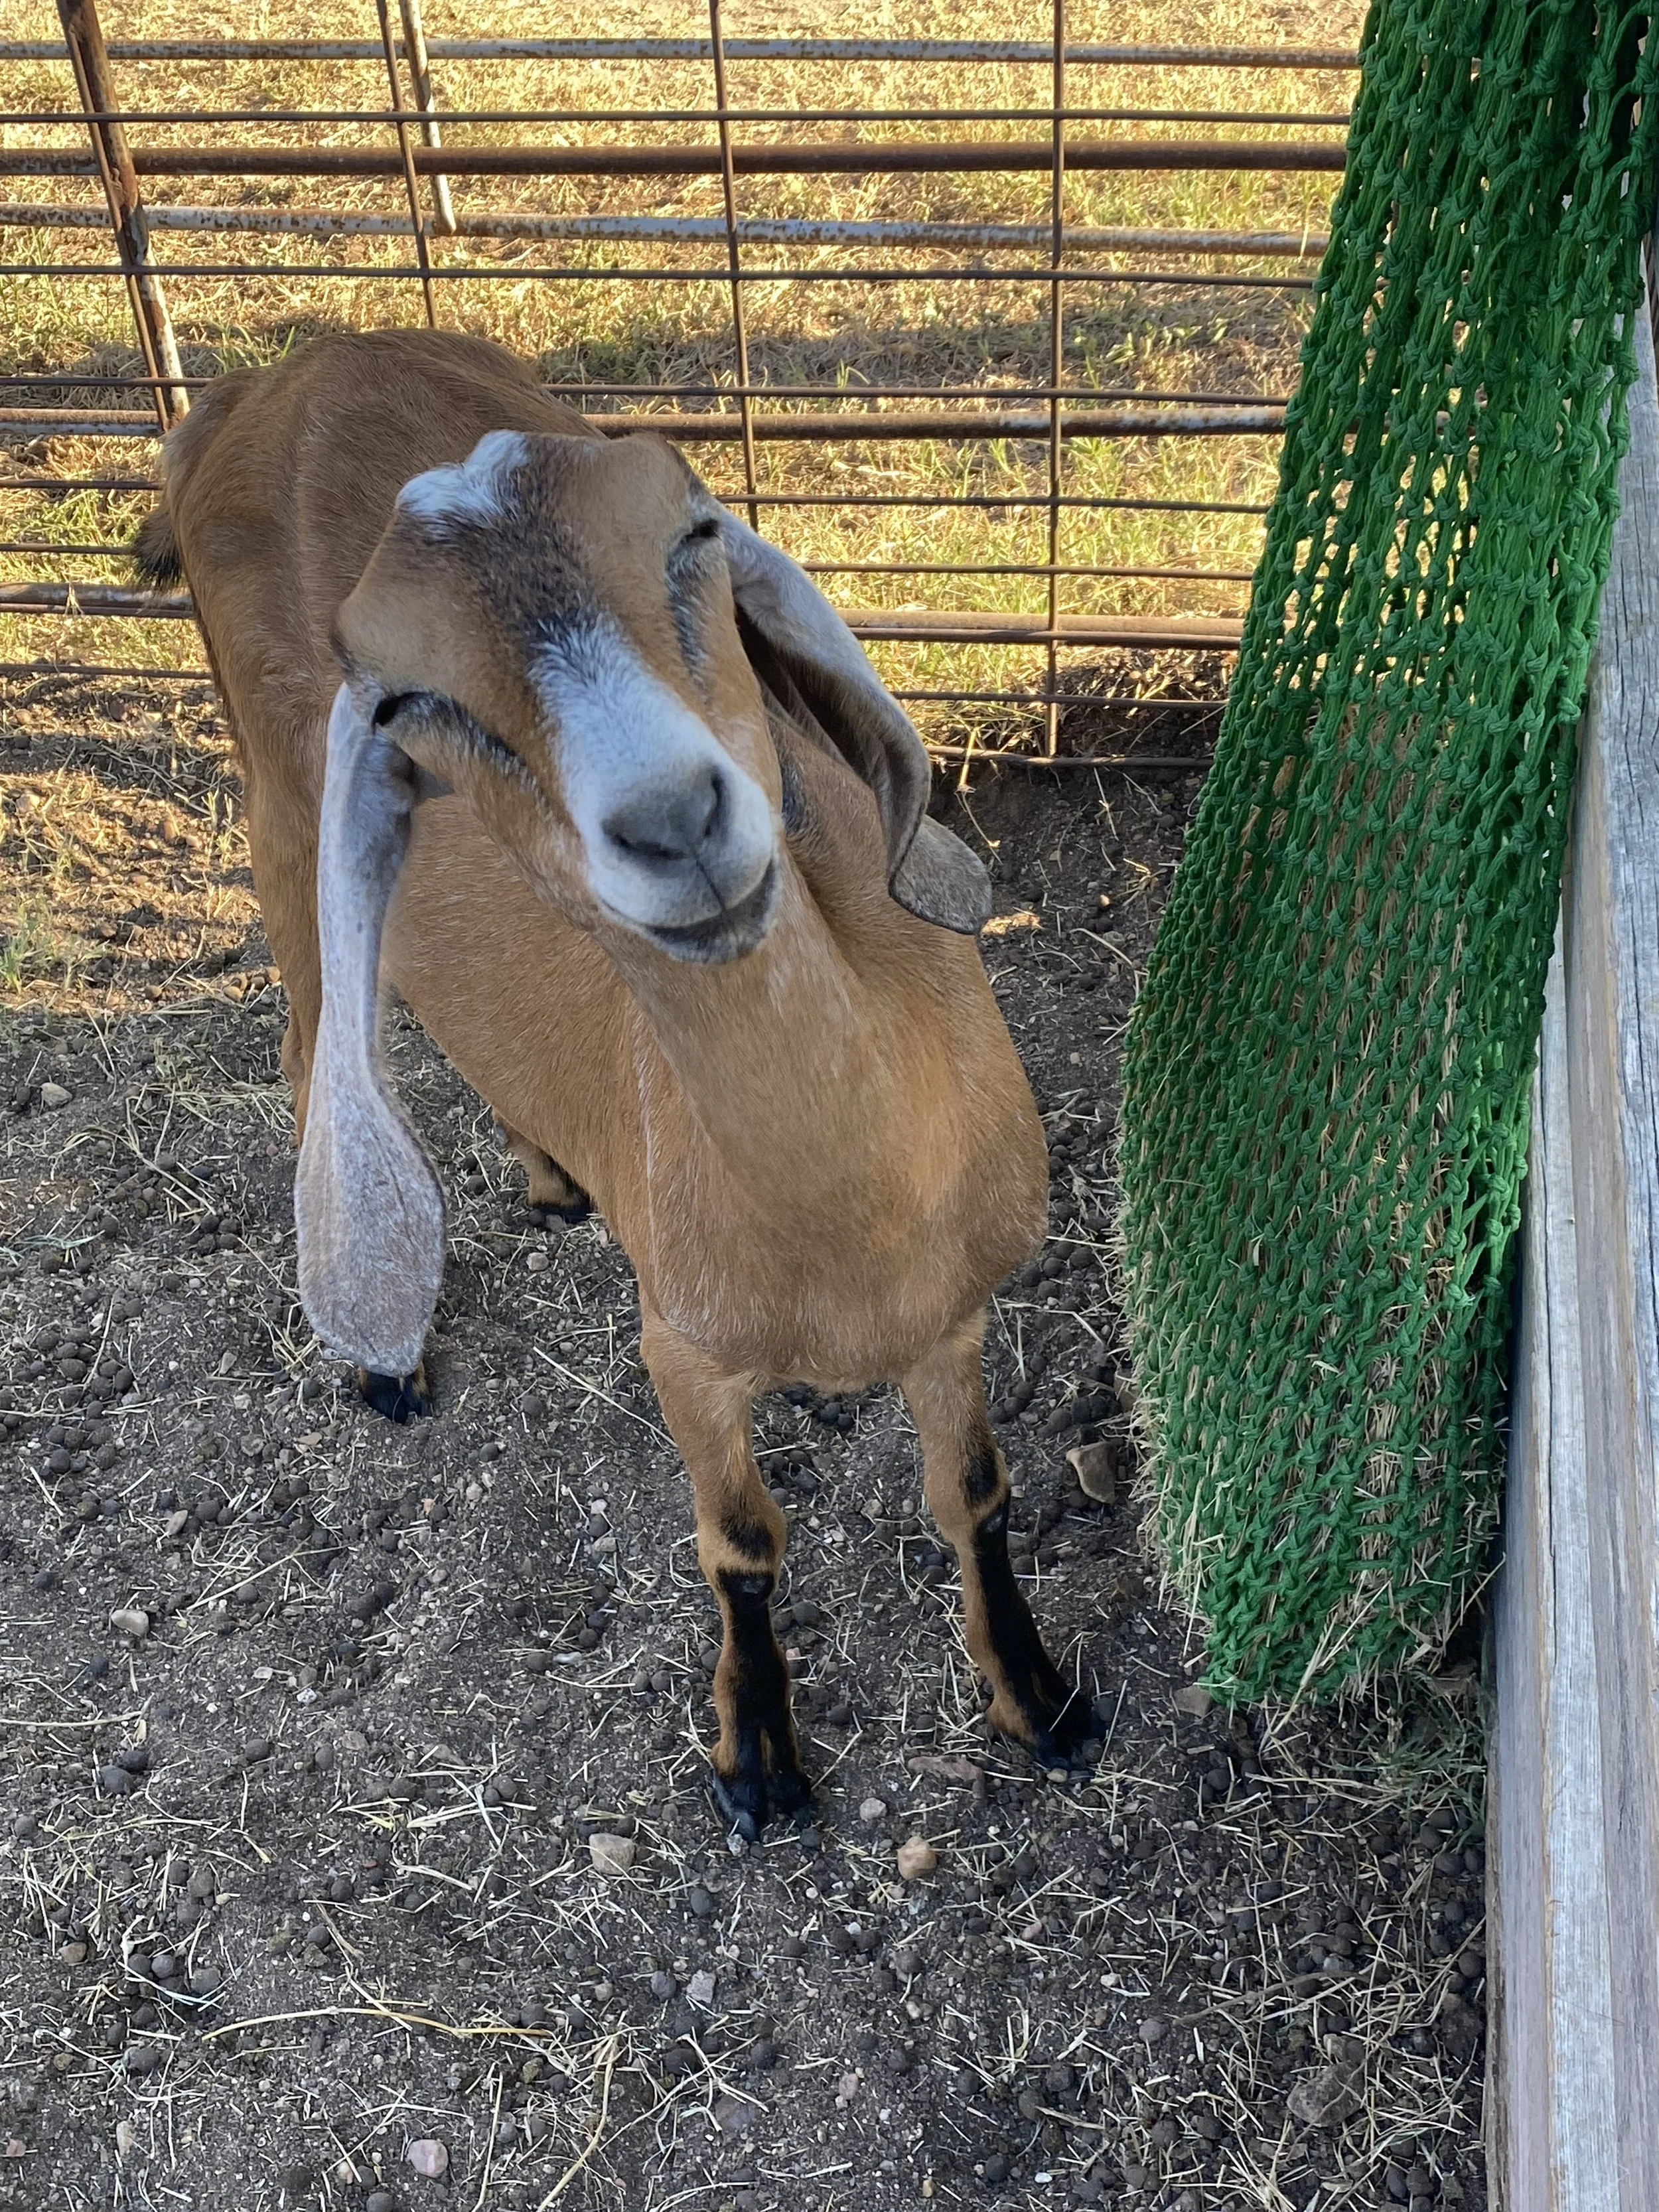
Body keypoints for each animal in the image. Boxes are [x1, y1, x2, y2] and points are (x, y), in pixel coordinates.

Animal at [137, 328, 1088, 1834]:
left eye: (691, 529)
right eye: (405, 694)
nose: (672, 820)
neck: (853, 1231)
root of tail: (268, 377)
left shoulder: (952, 1316)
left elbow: (974, 1493)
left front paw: (1039, 1694)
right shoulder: (679, 1349)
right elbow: (742, 1541)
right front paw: (757, 1751)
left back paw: (548, 1171)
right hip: (280, 826)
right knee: (310, 1042)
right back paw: (389, 1358)